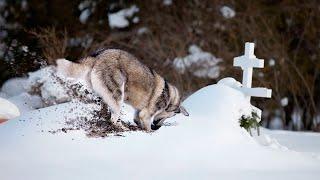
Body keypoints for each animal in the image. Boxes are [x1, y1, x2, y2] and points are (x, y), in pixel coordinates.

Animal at [56, 48, 189, 131]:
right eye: (170, 116)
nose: (157, 128)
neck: (169, 96)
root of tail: (98, 55)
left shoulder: (139, 112)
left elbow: (137, 120)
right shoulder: (146, 115)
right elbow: (147, 127)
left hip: (106, 97)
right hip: (118, 96)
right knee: (114, 119)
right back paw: (122, 128)